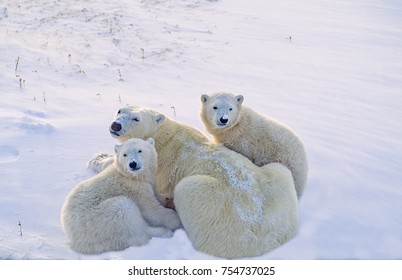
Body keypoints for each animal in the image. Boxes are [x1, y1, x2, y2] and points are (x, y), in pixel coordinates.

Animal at [90, 105, 298, 258]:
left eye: (136, 118)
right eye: (120, 111)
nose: (115, 125)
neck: (164, 136)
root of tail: (268, 239)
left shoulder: (156, 165)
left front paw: (97, 160)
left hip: (215, 211)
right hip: (278, 181)